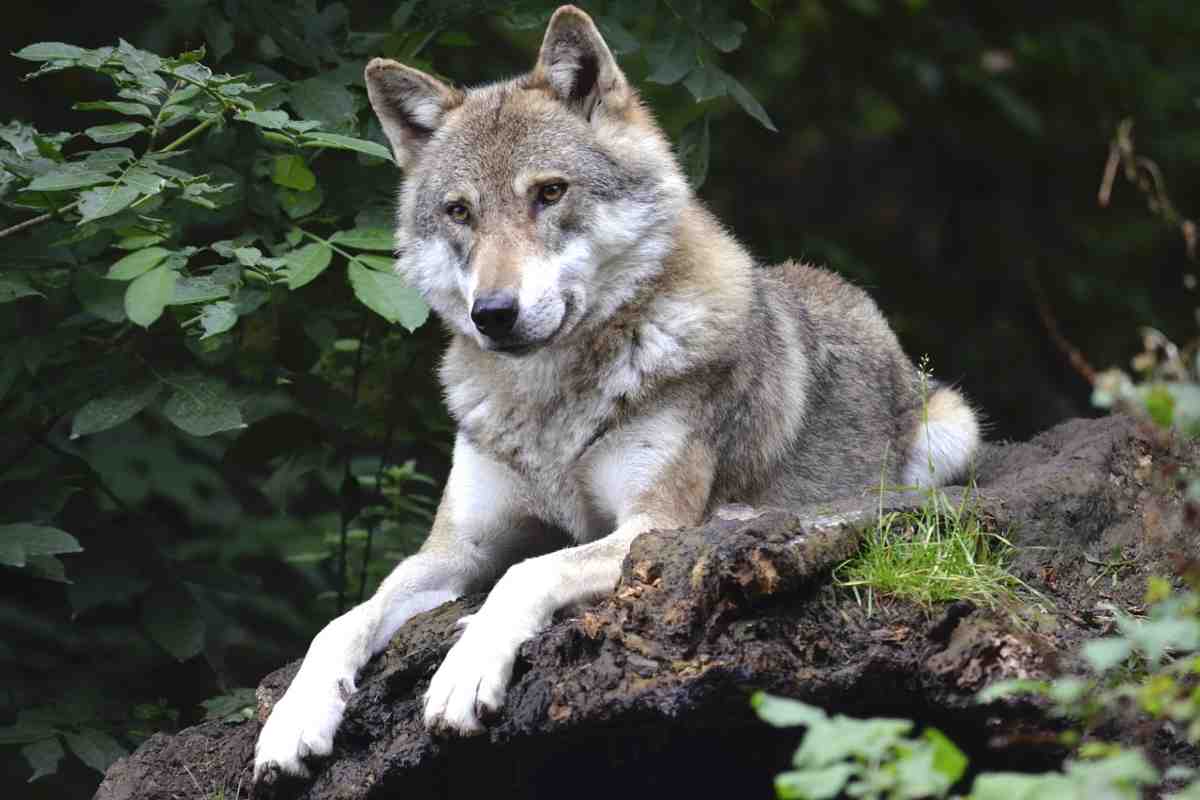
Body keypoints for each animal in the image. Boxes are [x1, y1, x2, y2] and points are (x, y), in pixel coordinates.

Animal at [250, 3, 974, 786]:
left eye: (549, 192)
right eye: (459, 212)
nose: (492, 313)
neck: (549, 406)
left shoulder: (648, 527)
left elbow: (526, 573)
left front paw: (465, 670)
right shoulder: (454, 548)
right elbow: (344, 620)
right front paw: (294, 719)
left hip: (951, 431)